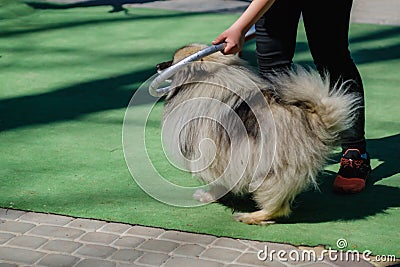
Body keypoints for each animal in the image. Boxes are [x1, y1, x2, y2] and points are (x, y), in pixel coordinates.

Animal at [159, 43, 360, 224]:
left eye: (172, 61)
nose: (159, 65)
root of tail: (315, 120)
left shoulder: (214, 154)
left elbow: (217, 182)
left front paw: (208, 196)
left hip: (270, 173)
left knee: (278, 207)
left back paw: (252, 217)